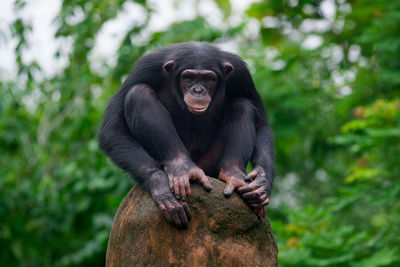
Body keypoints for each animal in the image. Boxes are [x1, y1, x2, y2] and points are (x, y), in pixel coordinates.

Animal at [99, 42, 276, 230]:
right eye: (188, 77)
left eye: (208, 79)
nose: (198, 90)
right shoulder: (144, 68)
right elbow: (114, 130)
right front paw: (160, 186)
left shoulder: (241, 74)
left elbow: (261, 124)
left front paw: (262, 183)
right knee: (138, 94)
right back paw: (181, 167)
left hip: (209, 166)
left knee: (243, 104)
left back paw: (233, 174)